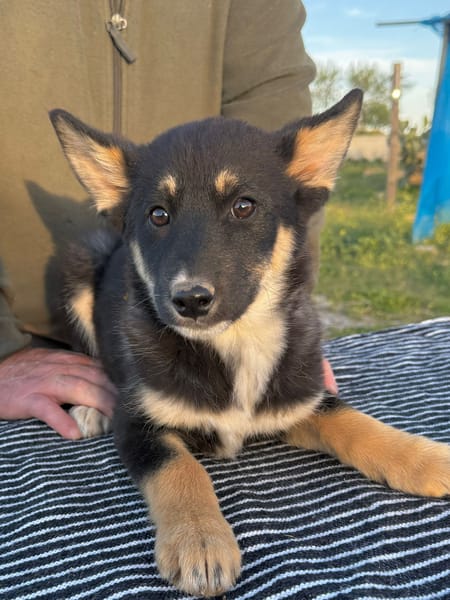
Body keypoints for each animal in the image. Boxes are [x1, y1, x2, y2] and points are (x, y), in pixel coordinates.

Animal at [50, 90, 450, 597]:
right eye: (158, 215)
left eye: (244, 206)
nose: (190, 300)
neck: (235, 343)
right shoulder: (138, 421)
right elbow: (179, 467)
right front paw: (199, 539)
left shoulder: (298, 397)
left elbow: (354, 420)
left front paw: (426, 458)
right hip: (78, 264)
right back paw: (89, 406)